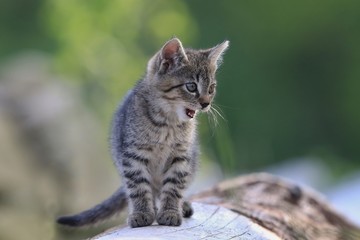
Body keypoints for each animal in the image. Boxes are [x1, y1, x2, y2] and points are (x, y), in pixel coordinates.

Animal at [57, 37, 229, 227]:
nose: (206, 103)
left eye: (211, 88)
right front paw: (142, 213)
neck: (168, 123)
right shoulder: (133, 156)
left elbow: (173, 186)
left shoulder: (181, 155)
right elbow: (139, 186)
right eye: (191, 86)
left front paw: (170, 211)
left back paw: (181, 205)